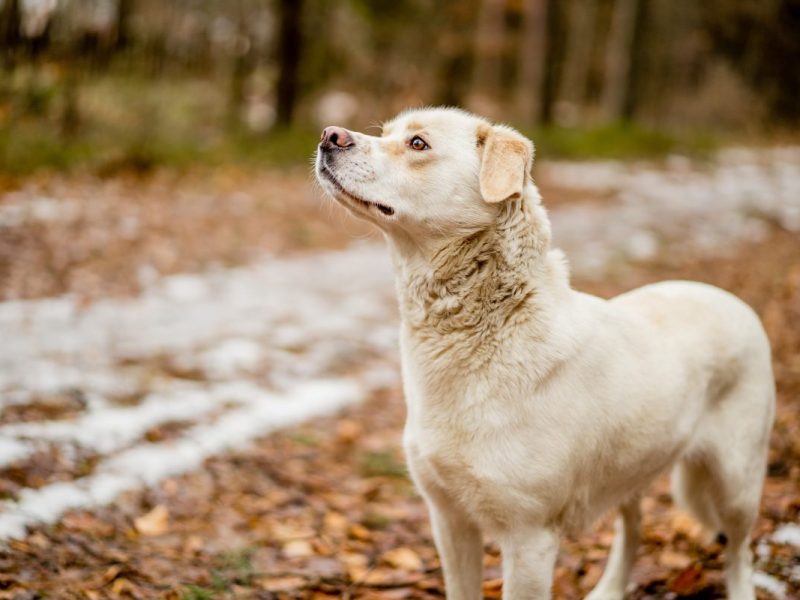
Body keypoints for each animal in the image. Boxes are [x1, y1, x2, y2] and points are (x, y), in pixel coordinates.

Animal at [314, 109, 776, 600]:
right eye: (386, 134)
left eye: (418, 144)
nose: (329, 135)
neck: (481, 329)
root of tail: (729, 297)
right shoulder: (449, 521)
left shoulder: (529, 538)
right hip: (632, 461)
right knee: (633, 524)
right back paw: (609, 588)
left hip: (737, 480)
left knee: (740, 550)